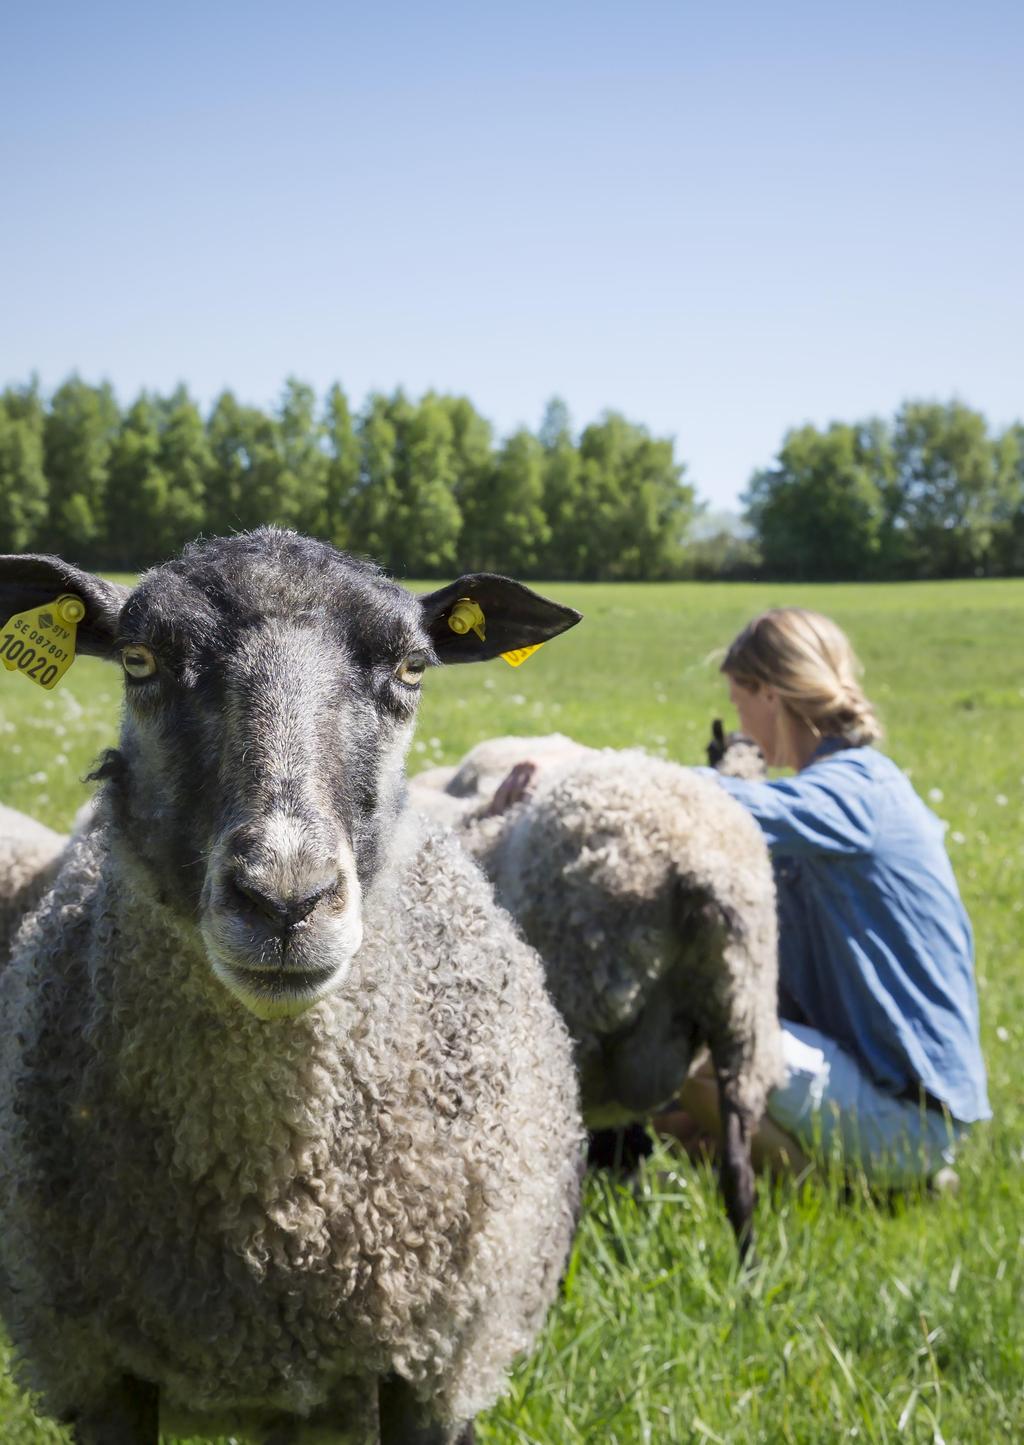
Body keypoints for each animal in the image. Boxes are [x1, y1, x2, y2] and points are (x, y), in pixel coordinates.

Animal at [0, 534, 583, 1445]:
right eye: (139, 658)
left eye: (412, 668)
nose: (284, 900)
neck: (280, 1209)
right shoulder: (96, 1369)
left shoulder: (436, 1362)